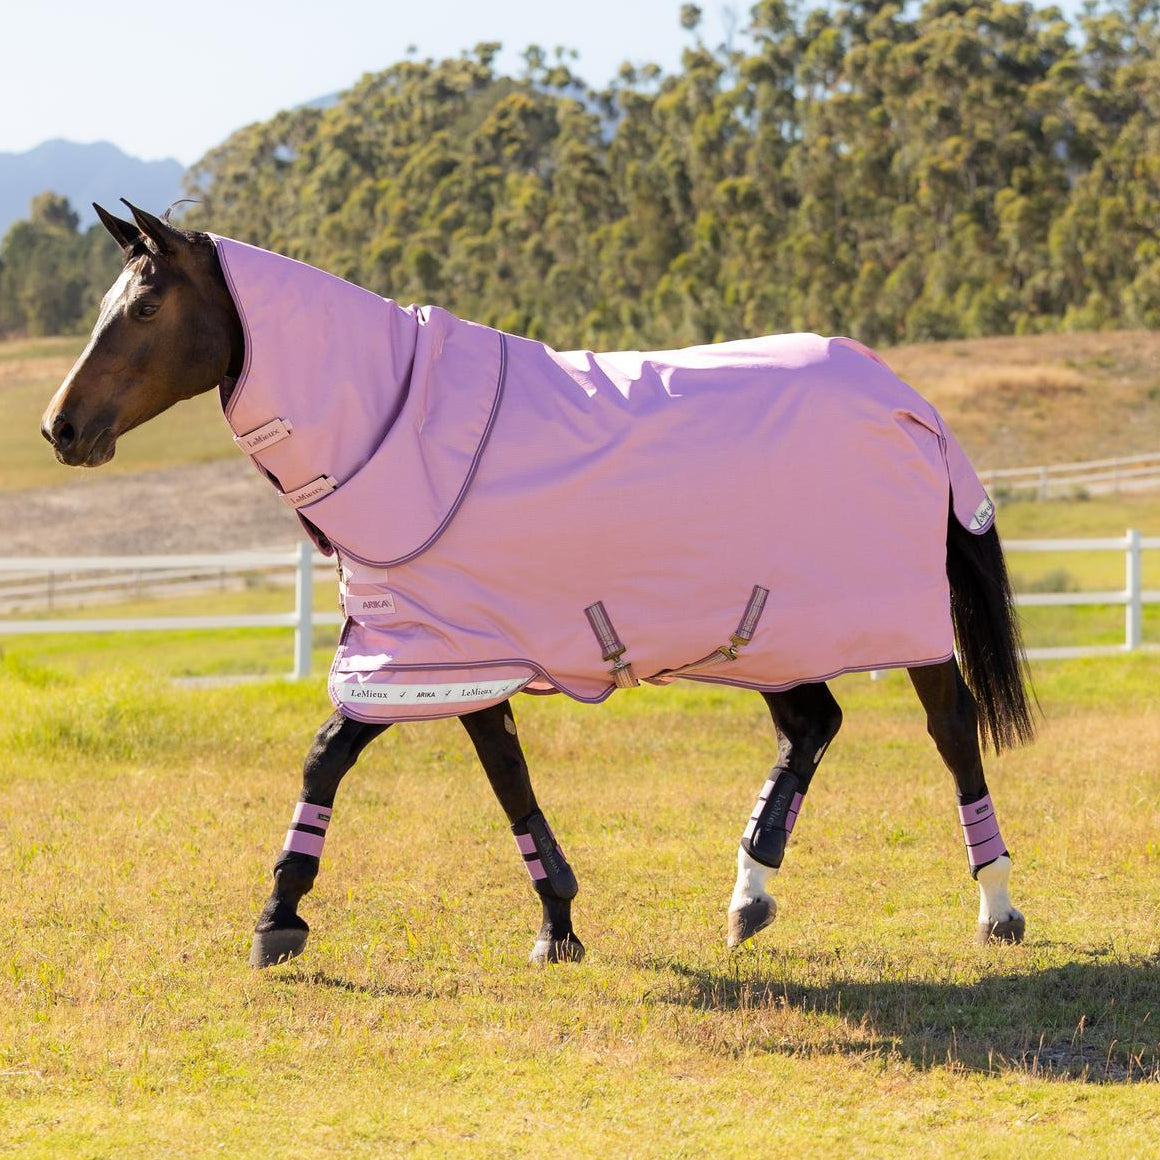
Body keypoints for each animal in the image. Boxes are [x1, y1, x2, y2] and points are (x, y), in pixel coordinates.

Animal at [41, 201, 1035, 969]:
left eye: (145, 305)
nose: (60, 427)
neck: (401, 428)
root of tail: (908, 402)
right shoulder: (447, 653)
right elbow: (494, 777)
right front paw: (556, 920)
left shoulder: (440, 654)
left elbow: (347, 757)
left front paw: (282, 914)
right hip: (765, 633)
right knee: (811, 727)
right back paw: (750, 893)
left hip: (901, 628)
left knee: (953, 734)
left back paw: (996, 906)